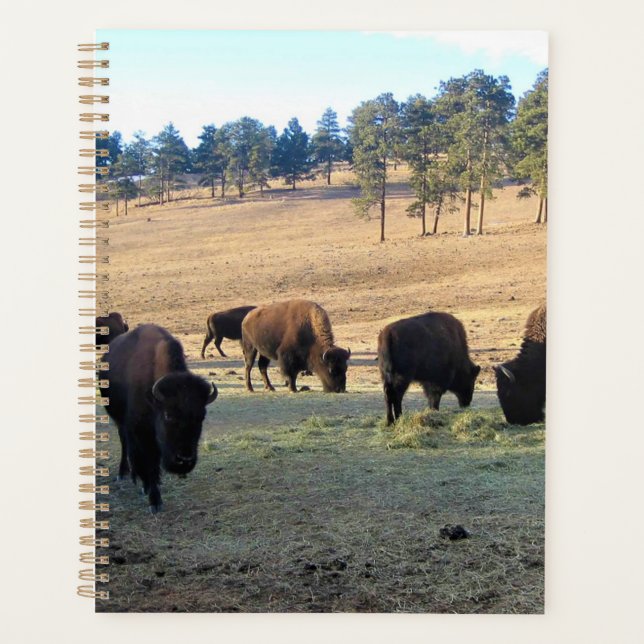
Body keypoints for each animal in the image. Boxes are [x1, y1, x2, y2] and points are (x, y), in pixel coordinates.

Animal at [99, 324, 218, 513]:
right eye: (168, 415)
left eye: (202, 416)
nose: (184, 460)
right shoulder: (142, 432)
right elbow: (150, 462)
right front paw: (154, 501)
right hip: (120, 421)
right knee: (126, 444)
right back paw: (125, 474)